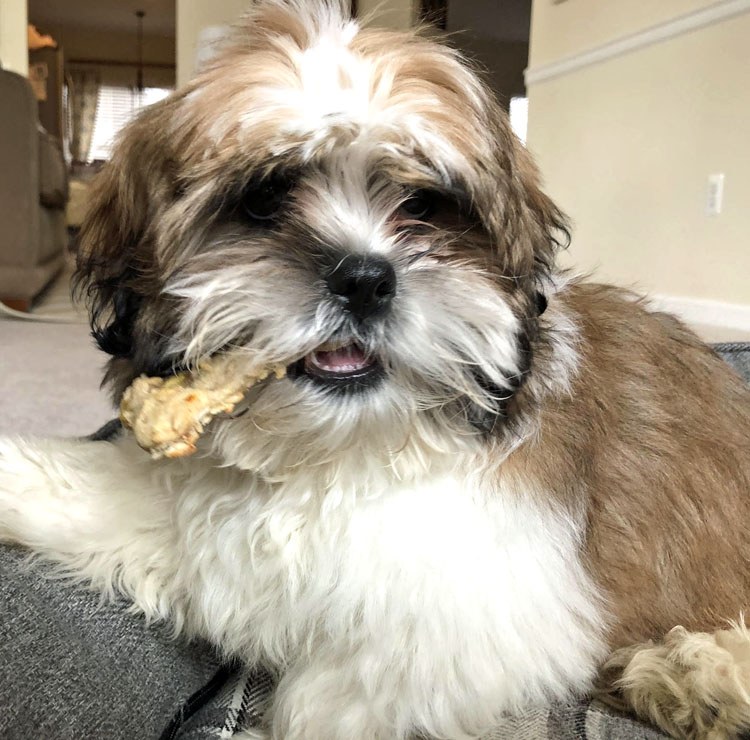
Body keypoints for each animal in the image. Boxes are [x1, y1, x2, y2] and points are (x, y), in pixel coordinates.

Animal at [1, 1, 750, 740]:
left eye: (422, 205)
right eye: (263, 199)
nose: (363, 278)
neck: (340, 452)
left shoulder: (473, 625)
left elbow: (336, 700)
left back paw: (702, 678)